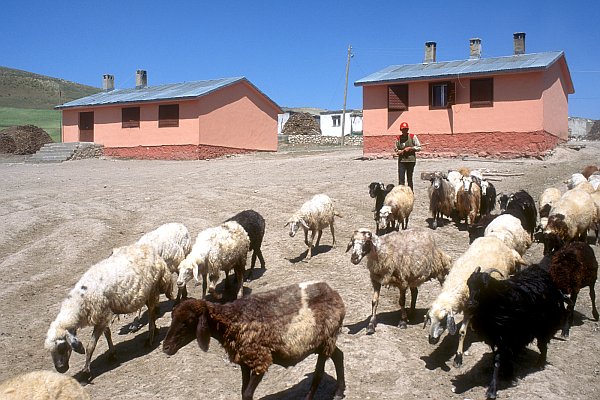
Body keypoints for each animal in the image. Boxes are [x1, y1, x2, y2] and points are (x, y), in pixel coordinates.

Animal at [45, 244, 172, 378]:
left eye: (62, 347)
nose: (60, 369)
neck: (79, 300)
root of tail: (152, 252)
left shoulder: (102, 316)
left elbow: (91, 345)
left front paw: (86, 371)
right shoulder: (103, 315)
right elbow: (108, 334)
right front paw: (112, 354)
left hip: (152, 289)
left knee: (152, 314)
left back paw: (150, 339)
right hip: (147, 293)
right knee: (151, 313)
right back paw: (155, 331)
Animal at [163, 282, 346, 400]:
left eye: (187, 321)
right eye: (172, 318)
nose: (165, 347)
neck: (233, 320)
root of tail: (334, 293)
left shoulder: (260, 359)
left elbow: (247, 394)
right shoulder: (244, 360)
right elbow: (243, 391)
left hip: (326, 339)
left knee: (318, 374)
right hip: (324, 342)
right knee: (339, 355)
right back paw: (339, 392)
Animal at [426, 234, 524, 368]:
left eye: (443, 320)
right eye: (429, 319)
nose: (432, 340)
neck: (456, 284)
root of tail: (495, 237)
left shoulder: (469, 308)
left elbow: (461, 332)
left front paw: (458, 357)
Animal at [464, 264, 568, 398]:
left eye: (484, 285)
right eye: (469, 284)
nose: (470, 305)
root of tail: (539, 270)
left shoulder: (507, 336)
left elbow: (498, 360)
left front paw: (492, 390)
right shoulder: (498, 337)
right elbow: (502, 357)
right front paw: (508, 372)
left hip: (545, 326)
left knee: (543, 346)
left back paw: (540, 364)